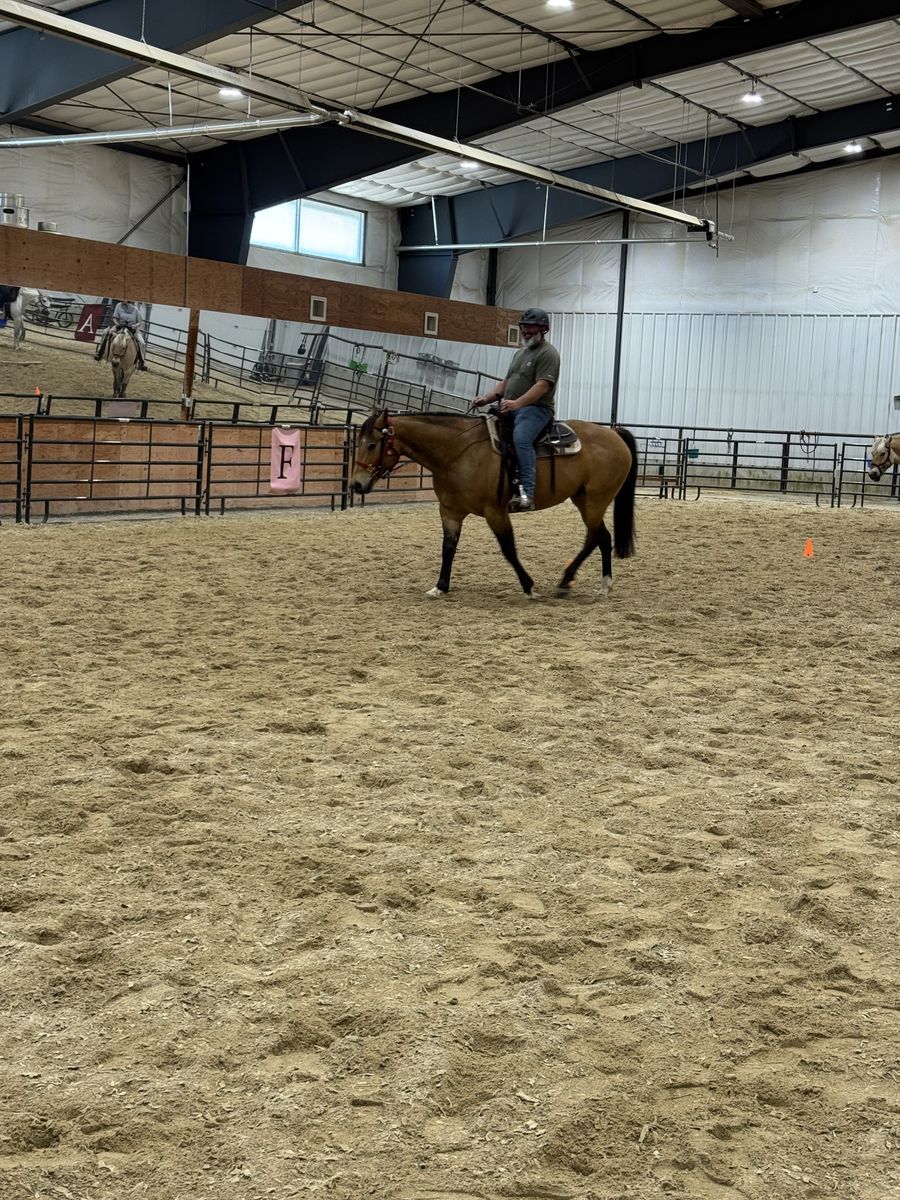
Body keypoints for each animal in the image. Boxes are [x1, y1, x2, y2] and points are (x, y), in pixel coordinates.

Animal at [350, 408, 637, 599]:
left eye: (372, 444)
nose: (356, 485)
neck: (458, 452)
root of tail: (614, 434)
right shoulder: (450, 511)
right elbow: (448, 548)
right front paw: (440, 586)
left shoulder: (495, 512)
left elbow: (508, 549)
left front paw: (529, 586)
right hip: (582, 500)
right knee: (594, 538)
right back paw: (566, 580)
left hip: (594, 502)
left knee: (602, 538)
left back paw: (604, 585)